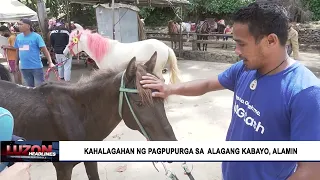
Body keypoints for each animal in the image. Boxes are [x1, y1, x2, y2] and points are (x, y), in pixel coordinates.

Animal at [0, 51, 176, 179]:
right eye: (139, 103)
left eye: (161, 99)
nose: (172, 146)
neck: (78, 115)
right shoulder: (63, 168)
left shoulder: (90, 160)